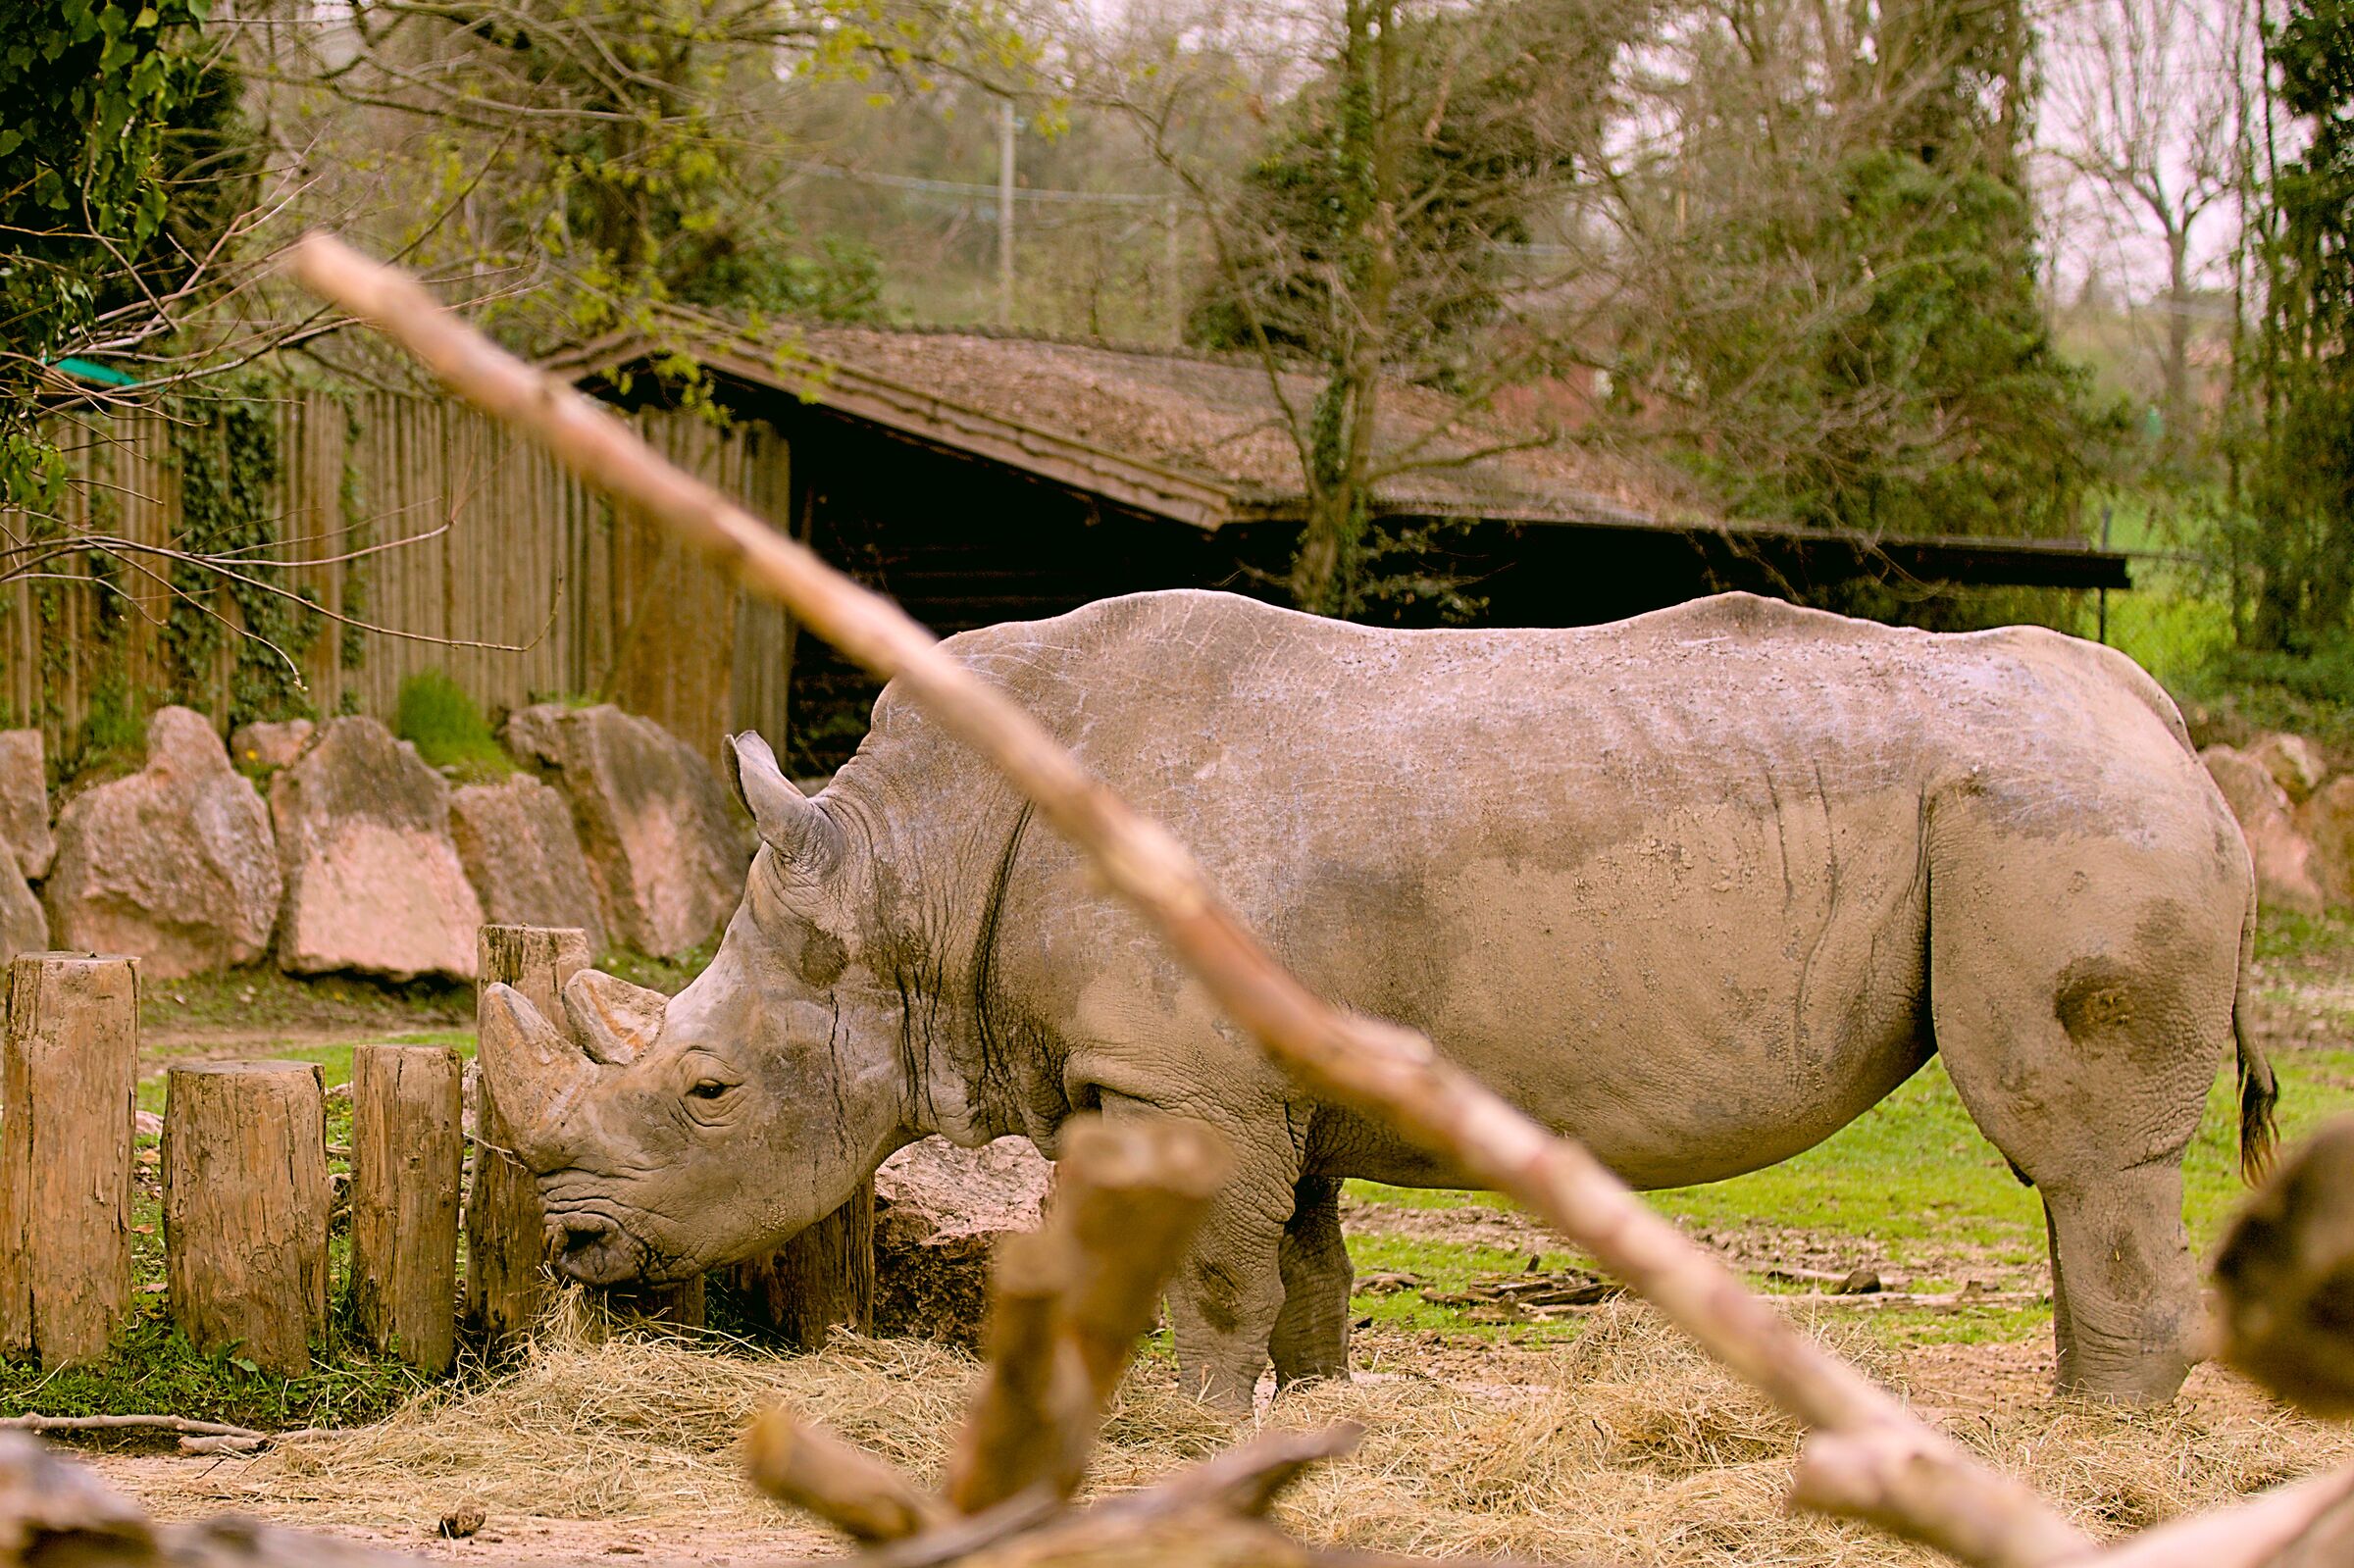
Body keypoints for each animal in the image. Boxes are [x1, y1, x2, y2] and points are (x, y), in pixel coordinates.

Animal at [480, 588, 2276, 1409]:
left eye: (706, 1088)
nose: (570, 1243)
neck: (907, 870)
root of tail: (2167, 722)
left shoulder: (1181, 1071)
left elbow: (1210, 1271)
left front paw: (1186, 1422)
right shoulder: (1263, 1065)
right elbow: (1300, 1266)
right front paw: (1316, 1414)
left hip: (2055, 816)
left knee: (2079, 1152)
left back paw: (2093, 1439)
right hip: (2063, 801)